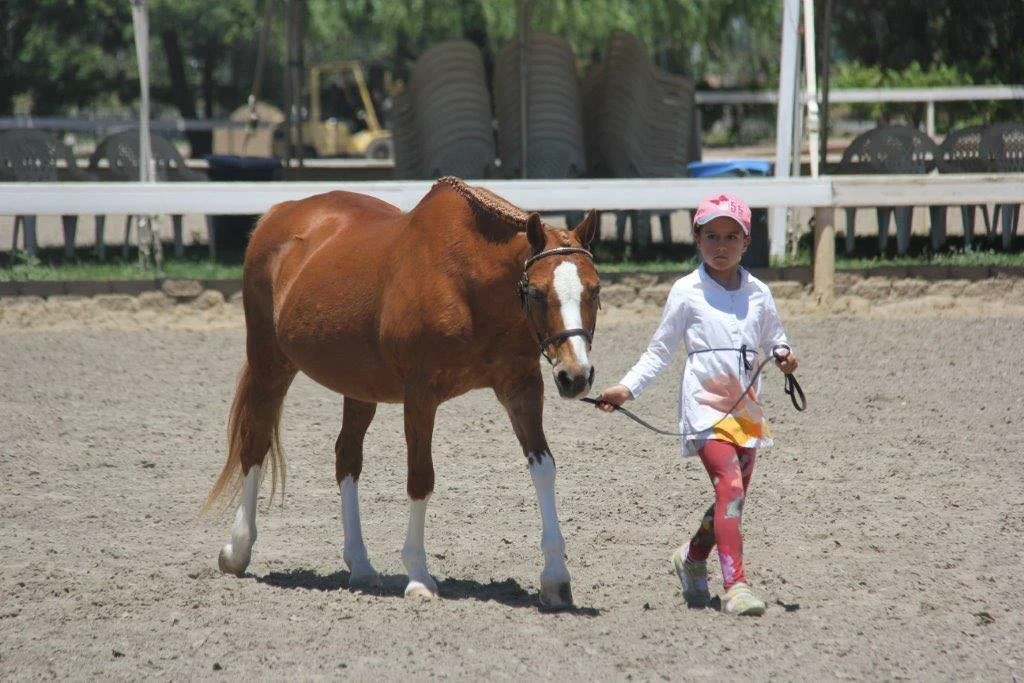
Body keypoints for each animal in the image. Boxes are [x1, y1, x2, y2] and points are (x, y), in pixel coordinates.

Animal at [204, 176, 600, 610]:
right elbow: (420, 477)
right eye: (538, 293)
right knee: (255, 443)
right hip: (270, 364)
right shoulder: (421, 395)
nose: (575, 376)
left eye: (595, 290)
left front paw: (555, 578)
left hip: (358, 386)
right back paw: (237, 551)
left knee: (346, 458)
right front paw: (419, 577)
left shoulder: (521, 387)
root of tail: (277, 213)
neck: (468, 282)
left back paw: (361, 566)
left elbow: (543, 468)